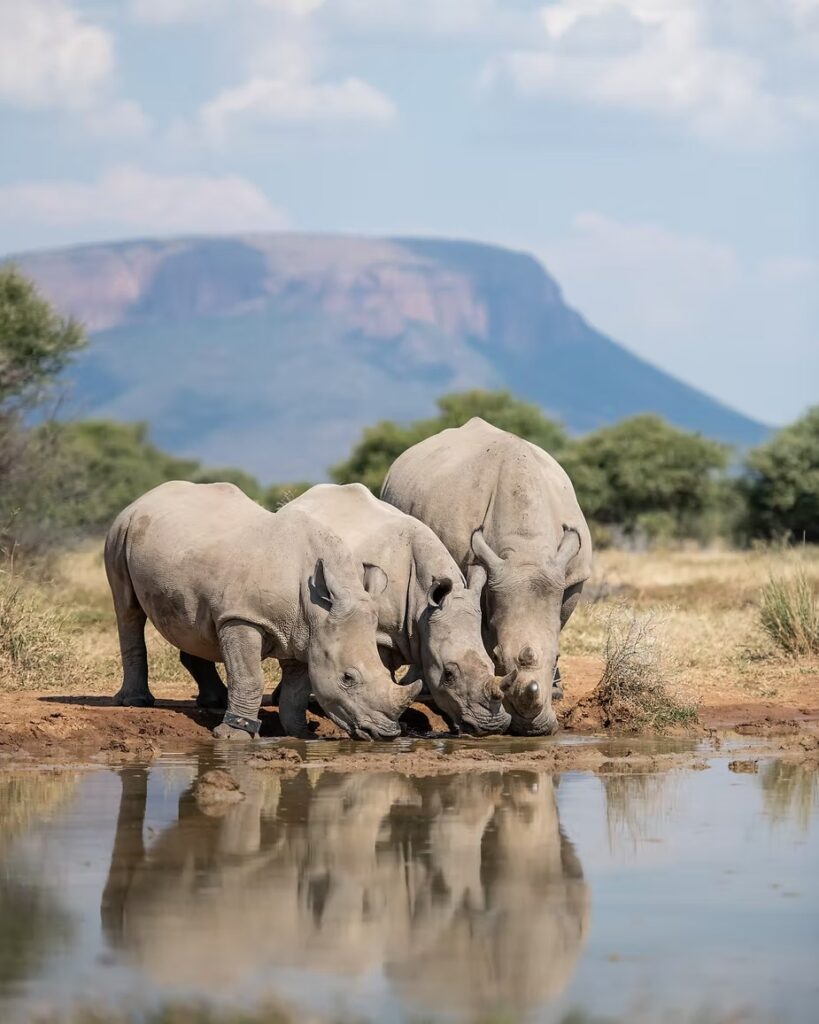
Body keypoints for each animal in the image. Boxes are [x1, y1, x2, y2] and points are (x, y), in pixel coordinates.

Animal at [104, 480, 420, 741]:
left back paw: (215, 701)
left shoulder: (305, 635)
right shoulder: (242, 617)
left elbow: (296, 691)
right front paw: (234, 735)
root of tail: (146, 496)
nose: (387, 734)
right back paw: (136, 702)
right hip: (120, 529)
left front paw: (300, 735)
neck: (316, 609)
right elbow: (250, 677)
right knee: (127, 609)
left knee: (191, 622)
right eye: (348, 678)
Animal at [382, 418, 592, 735]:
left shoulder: (571, 576)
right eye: (496, 656)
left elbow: (557, 621)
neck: (525, 552)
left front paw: (554, 691)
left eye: (557, 655)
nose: (530, 728)